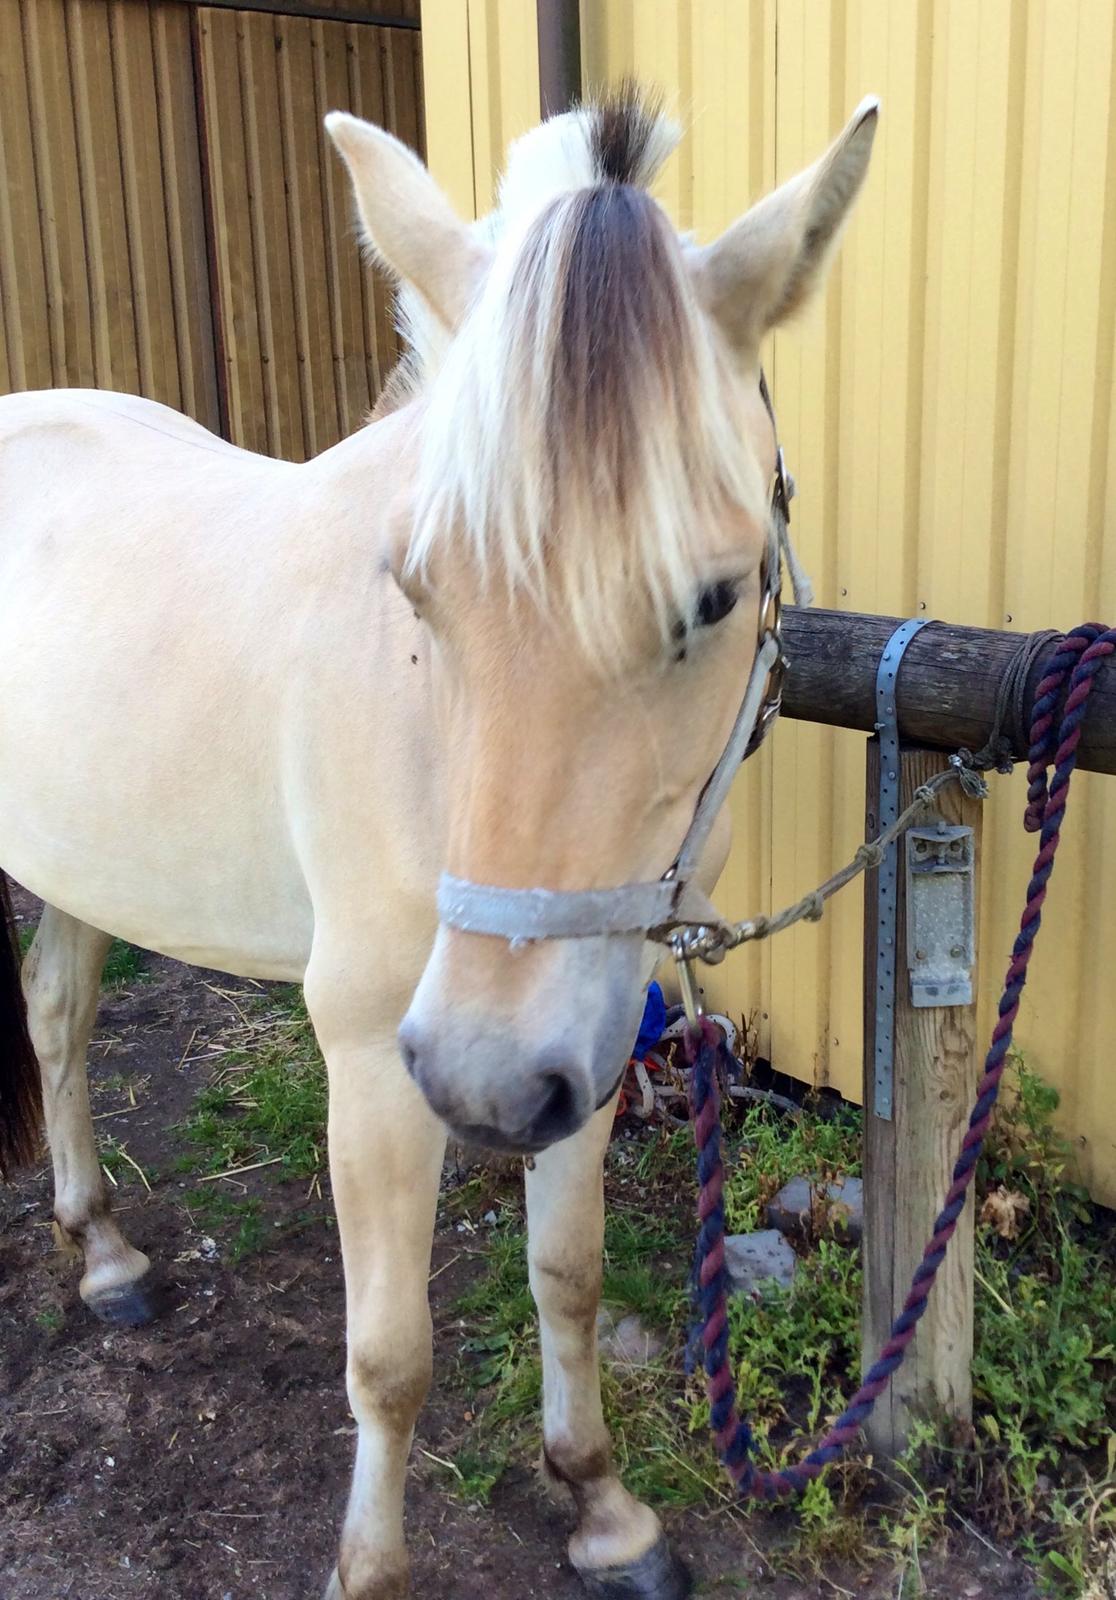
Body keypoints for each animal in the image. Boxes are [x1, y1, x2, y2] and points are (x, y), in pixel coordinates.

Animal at [0, 90, 876, 1600]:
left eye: (715, 596)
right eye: (419, 587)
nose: (478, 1082)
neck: (425, 728)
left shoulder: (586, 1034)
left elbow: (568, 1278)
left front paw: (603, 1507)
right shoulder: (369, 1052)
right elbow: (390, 1359)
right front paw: (371, 1568)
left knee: (56, 1012)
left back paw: (106, 1256)